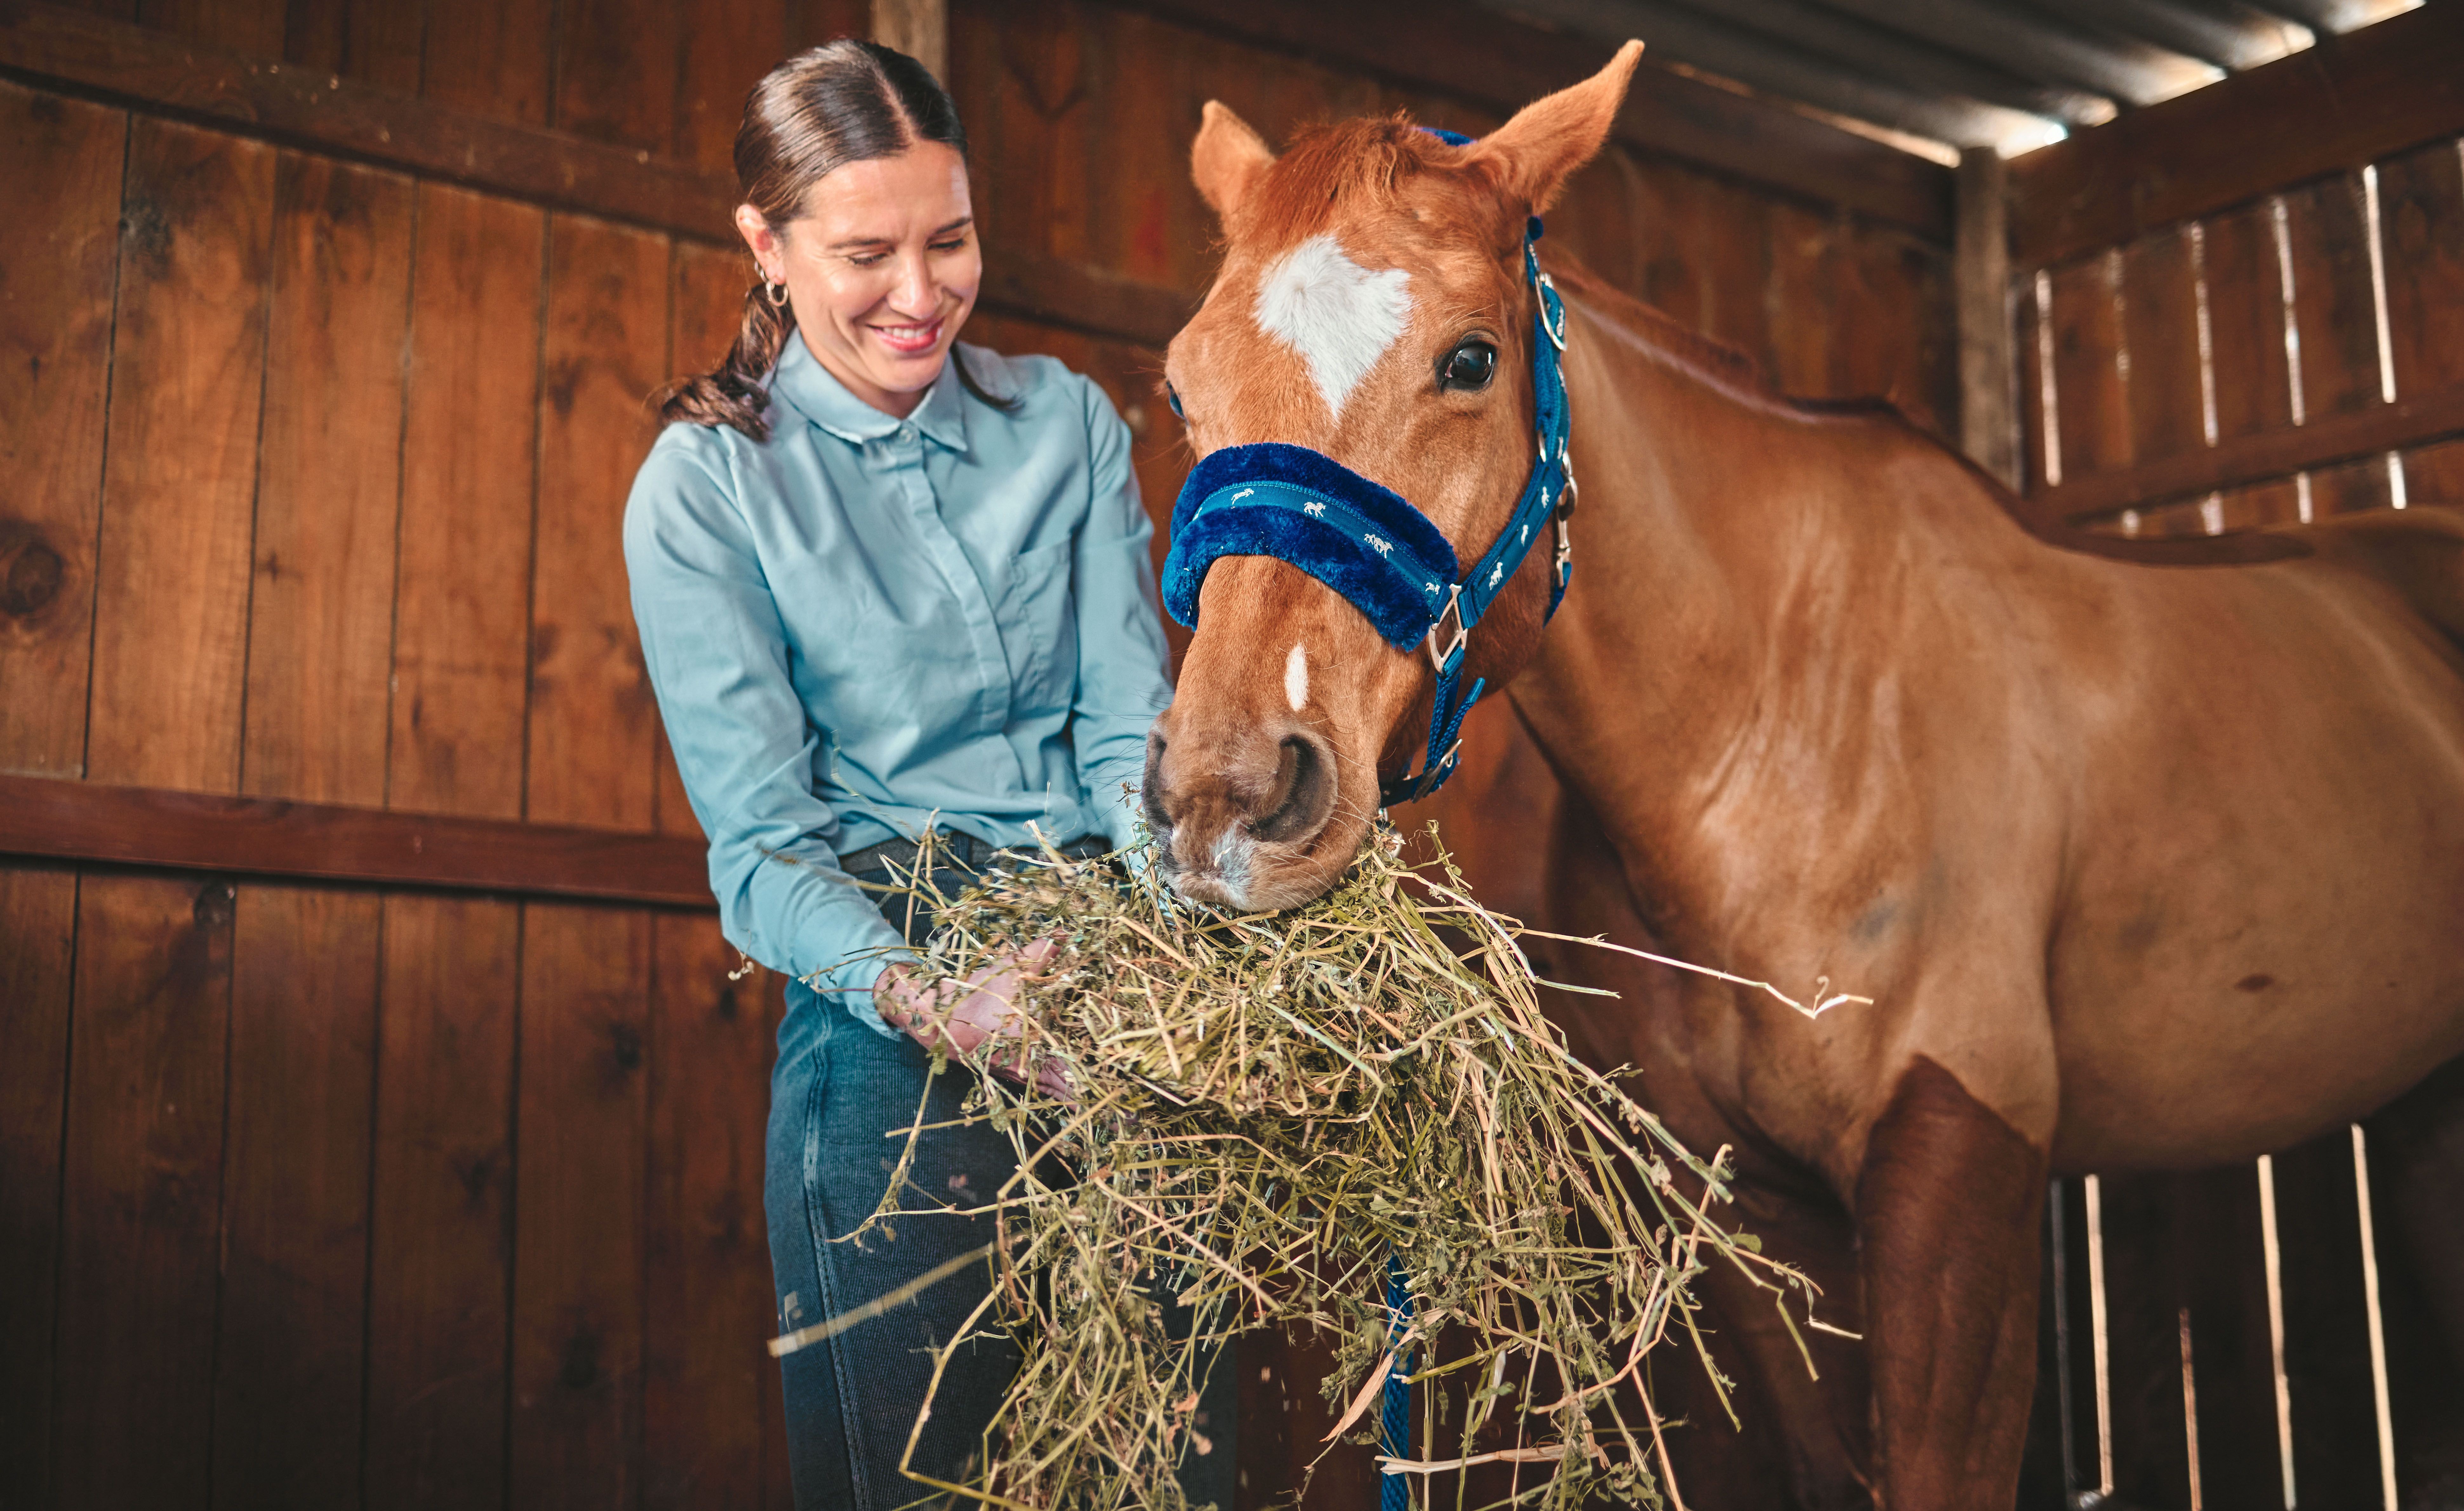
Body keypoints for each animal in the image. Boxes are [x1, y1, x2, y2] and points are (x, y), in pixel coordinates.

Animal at [1143, 41, 2464, 1499]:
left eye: (1469, 359)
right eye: (1182, 388)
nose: (1229, 794)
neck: (1778, 719)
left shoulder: (1958, 1171)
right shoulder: (1750, 1208)